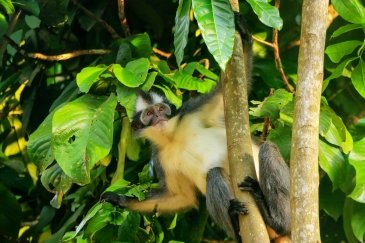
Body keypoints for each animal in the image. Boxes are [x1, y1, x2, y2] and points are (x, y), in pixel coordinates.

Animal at [100, 10, 290, 241]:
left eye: (162, 109)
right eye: (149, 114)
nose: (160, 118)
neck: (174, 137)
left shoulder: (193, 109)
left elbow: (234, 87)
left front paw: (244, 34)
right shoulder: (160, 158)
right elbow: (180, 196)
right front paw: (120, 200)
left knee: (266, 149)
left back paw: (278, 221)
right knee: (214, 174)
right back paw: (235, 223)